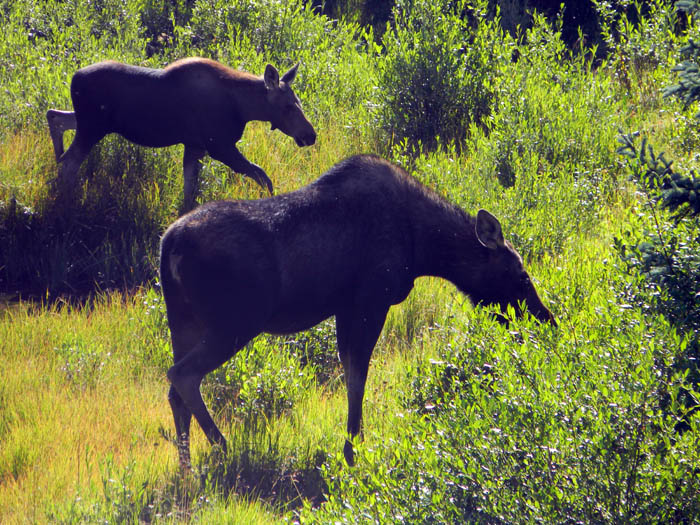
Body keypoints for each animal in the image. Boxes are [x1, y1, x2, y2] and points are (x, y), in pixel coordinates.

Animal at [160, 152, 556, 466]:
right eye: (521, 277)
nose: (546, 320)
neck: (424, 248)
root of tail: (169, 245)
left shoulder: (345, 308)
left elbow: (351, 373)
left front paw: (353, 445)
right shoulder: (370, 300)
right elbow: (357, 378)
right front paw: (354, 449)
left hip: (184, 322)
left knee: (175, 391)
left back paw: (187, 467)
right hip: (236, 321)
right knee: (182, 375)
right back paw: (222, 446)